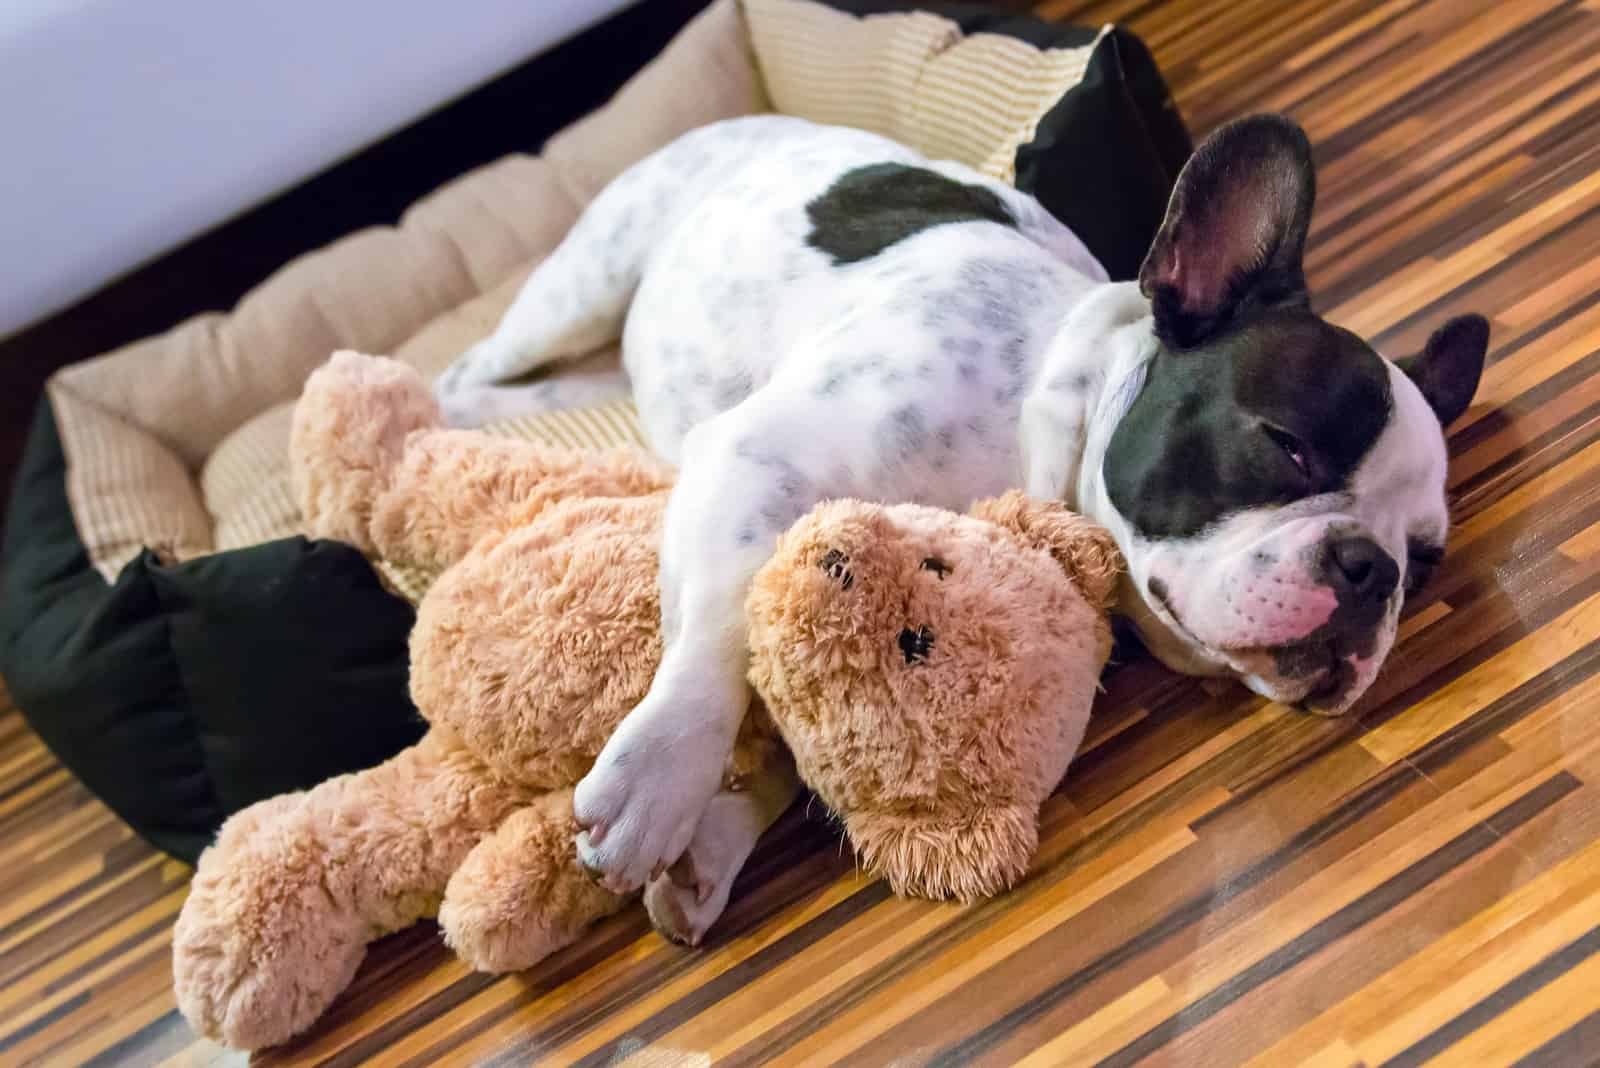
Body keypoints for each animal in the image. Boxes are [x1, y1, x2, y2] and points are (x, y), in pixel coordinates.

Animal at [438, 112, 1484, 940]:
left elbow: (782, 717)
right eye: (1289, 446)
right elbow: (719, 637)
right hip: (586, 280)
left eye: (1424, 564)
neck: (1039, 403)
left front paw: (713, 842)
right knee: (477, 366)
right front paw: (661, 782)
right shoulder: (752, 459)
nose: (1371, 572)